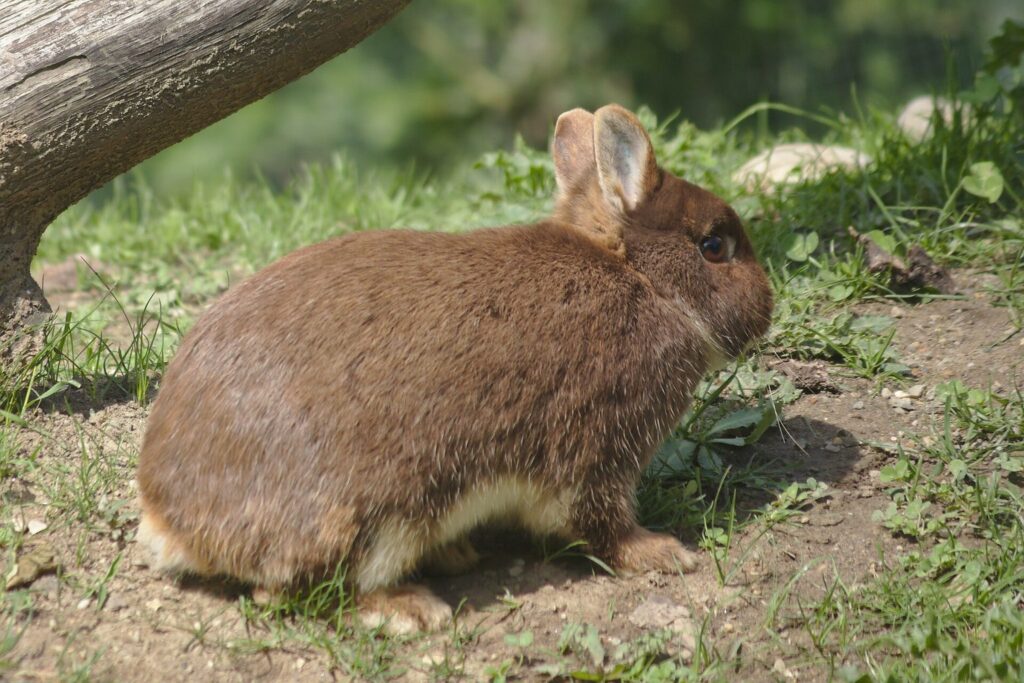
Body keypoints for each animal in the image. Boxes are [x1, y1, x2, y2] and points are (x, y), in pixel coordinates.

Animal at [136, 104, 773, 634]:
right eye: (714, 246)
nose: (767, 306)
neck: (639, 279)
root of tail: (173, 521)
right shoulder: (596, 449)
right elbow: (598, 523)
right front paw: (663, 552)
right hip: (377, 508)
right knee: (295, 591)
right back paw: (412, 608)